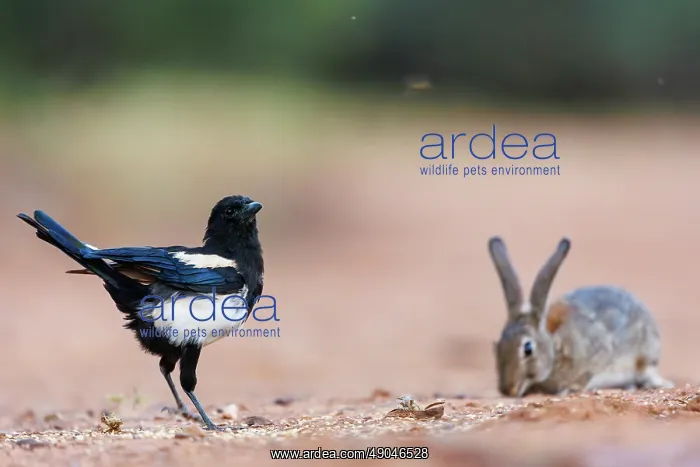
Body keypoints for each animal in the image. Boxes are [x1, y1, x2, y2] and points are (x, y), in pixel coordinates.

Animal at [488, 236, 673, 397]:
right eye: (497, 347)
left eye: (528, 349)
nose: (507, 390)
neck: (554, 349)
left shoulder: (597, 354)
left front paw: (568, 389)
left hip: (646, 355)